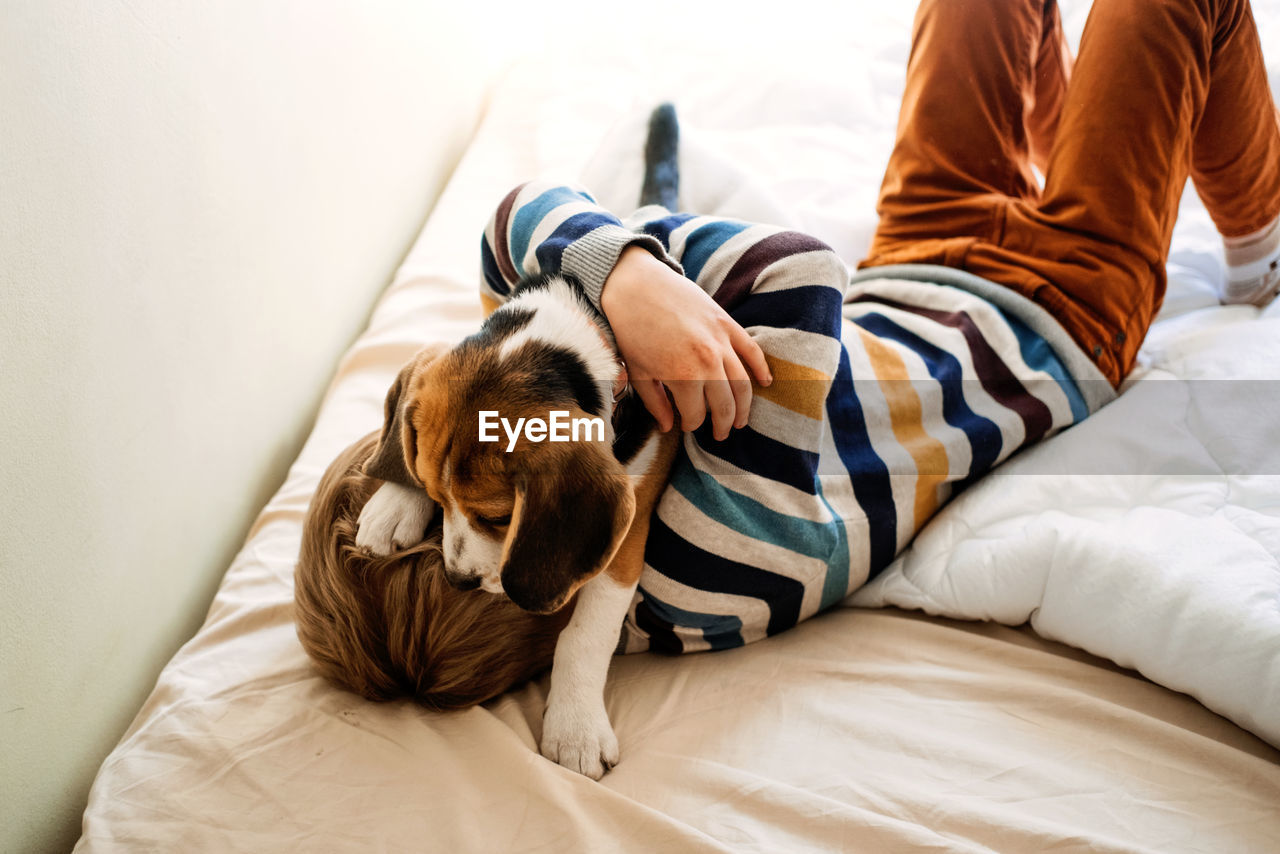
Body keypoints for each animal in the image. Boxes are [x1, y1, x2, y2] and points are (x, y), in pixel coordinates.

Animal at [355, 273, 680, 783]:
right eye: (435, 497)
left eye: (498, 519)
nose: (458, 581)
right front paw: (394, 501)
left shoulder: (628, 524)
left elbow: (586, 635)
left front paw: (576, 731)